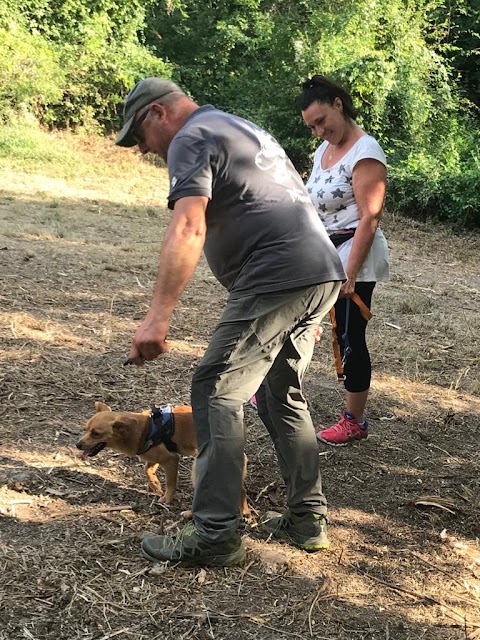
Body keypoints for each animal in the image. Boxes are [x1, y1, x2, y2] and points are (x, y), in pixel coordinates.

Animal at [77, 404, 249, 520]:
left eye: (96, 433)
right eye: (85, 429)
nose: (77, 444)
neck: (144, 429)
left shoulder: (171, 460)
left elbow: (171, 484)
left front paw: (166, 499)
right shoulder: (154, 457)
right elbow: (147, 470)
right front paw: (155, 485)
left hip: (197, 469)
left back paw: (190, 513)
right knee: (240, 490)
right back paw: (245, 512)